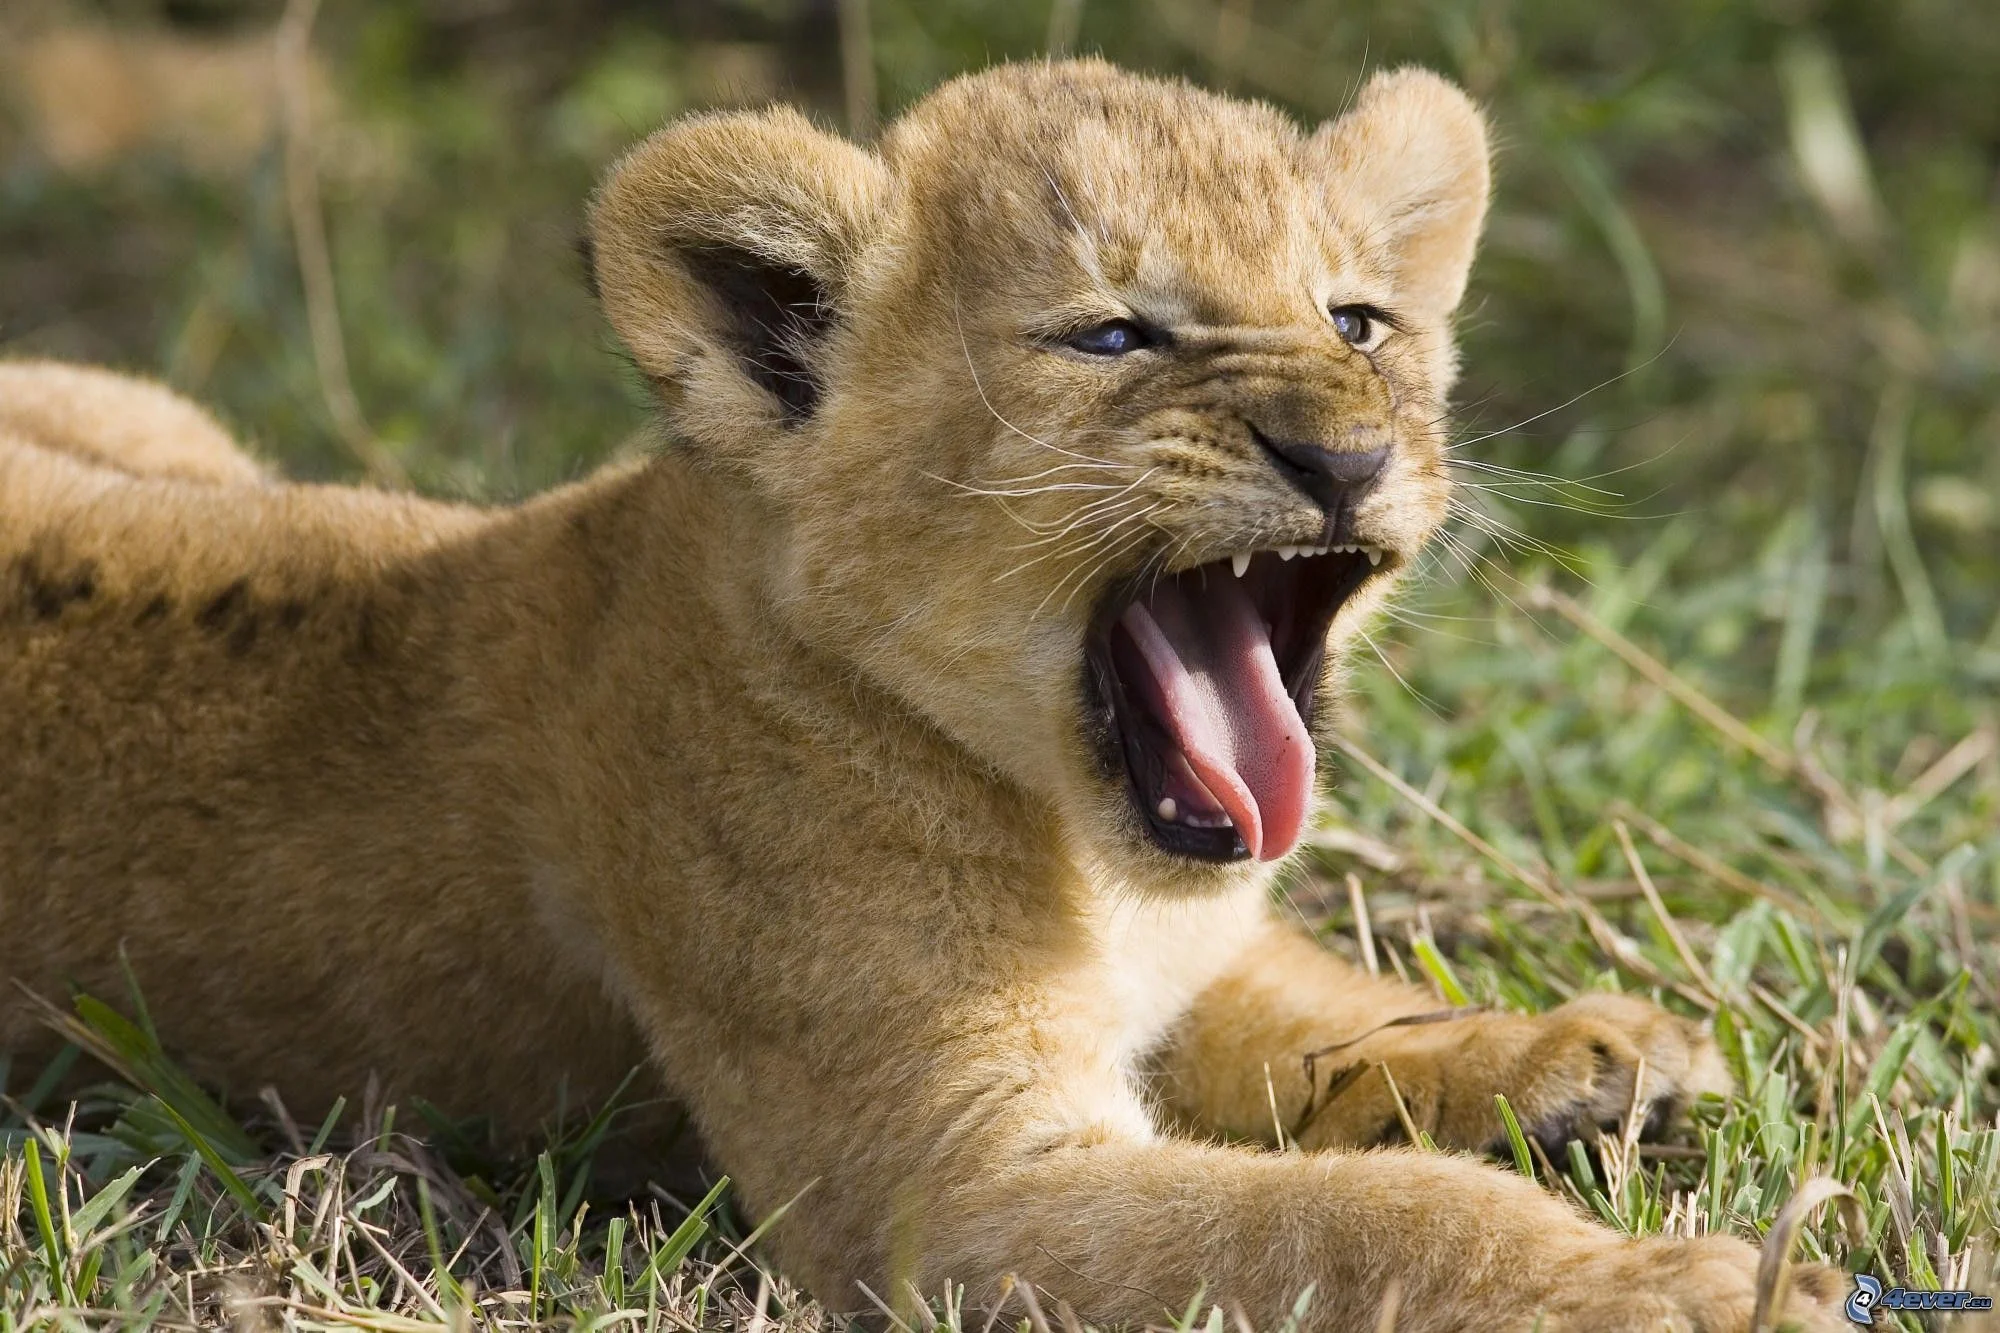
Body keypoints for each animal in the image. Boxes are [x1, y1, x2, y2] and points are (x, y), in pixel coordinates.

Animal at [1, 60, 1843, 1331]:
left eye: (1357, 319)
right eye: (1112, 337)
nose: (1345, 453)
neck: (1080, 842)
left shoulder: (1182, 958)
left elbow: (1323, 1008)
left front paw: (1578, 1050)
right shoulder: (942, 1196)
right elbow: (1355, 1220)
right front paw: (1691, 1285)